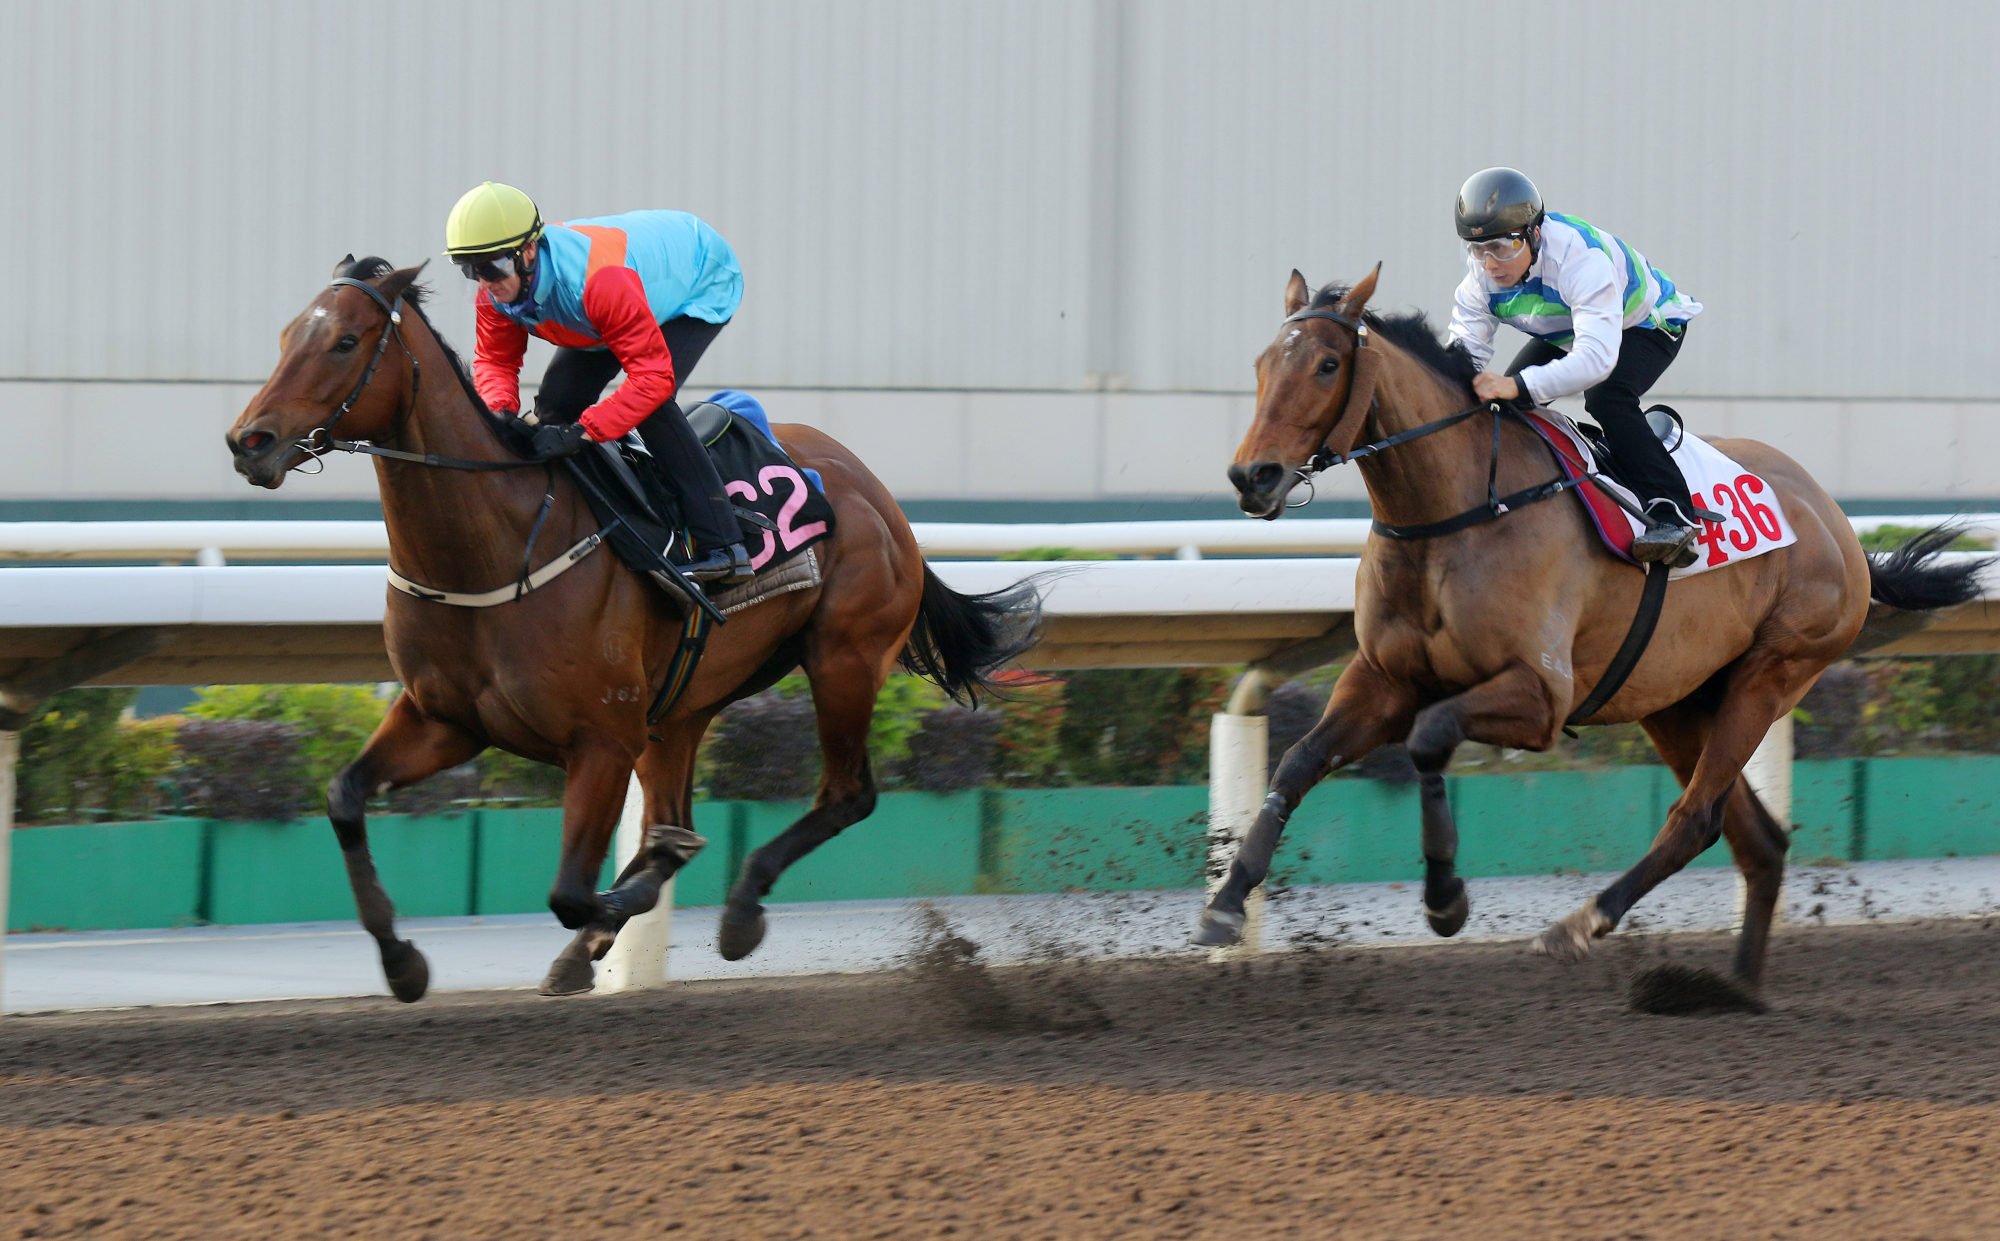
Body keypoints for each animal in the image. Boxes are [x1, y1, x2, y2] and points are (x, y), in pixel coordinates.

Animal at [227, 256, 1040, 1004]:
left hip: (844, 657)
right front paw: (402, 963)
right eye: (285, 335)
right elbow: (344, 797)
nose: (248, 441)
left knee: (847, 794)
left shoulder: (600, 739)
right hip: (682, 704)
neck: (497, 545)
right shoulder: (444, 719)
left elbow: (570, 890)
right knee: (685, 808)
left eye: (346, 341)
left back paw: (738, 912)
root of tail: (877, 491)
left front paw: (620, 908)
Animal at [1192, 266, 1976, 1004]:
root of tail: (1836, 522)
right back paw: (1734, 994)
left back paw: (1581, 923)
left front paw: (1446, 900)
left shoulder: (1540, 696)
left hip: (1771, 674)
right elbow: (1298, 761)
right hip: (1678, 699)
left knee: (1697, 817)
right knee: (1758, 839)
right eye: (1262, 364)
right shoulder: (1383, 678)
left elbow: (1429, 737)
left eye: (1327, 364)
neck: (1456, 513)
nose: (1253, 475)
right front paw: (1225, 906)